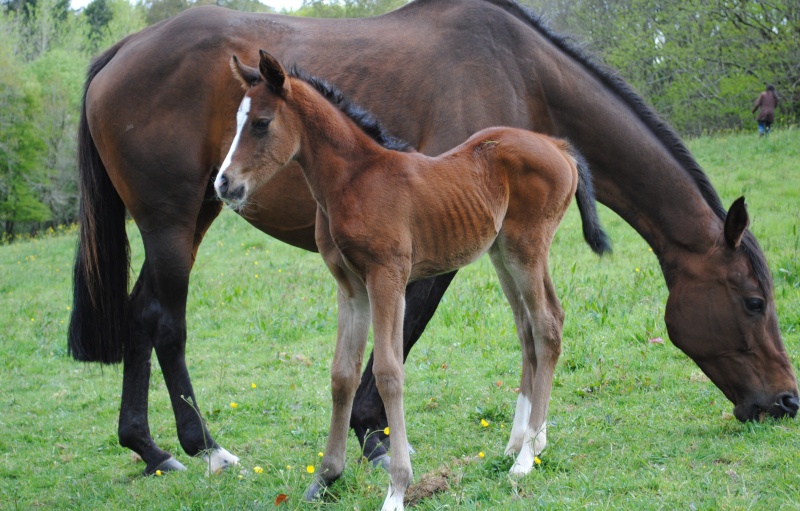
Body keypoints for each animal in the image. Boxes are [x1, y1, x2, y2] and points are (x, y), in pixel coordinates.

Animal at [72, 0, 796, 476]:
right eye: (754, 301)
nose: (786, 401)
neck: (523, 74)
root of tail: (119, 52)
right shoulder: (432, 244)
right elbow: (403, 337)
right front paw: (375, 436)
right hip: (171, 223)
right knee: (165, 322)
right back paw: (202, 447)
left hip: (197, 214)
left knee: (141, 316)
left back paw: (150, 448)